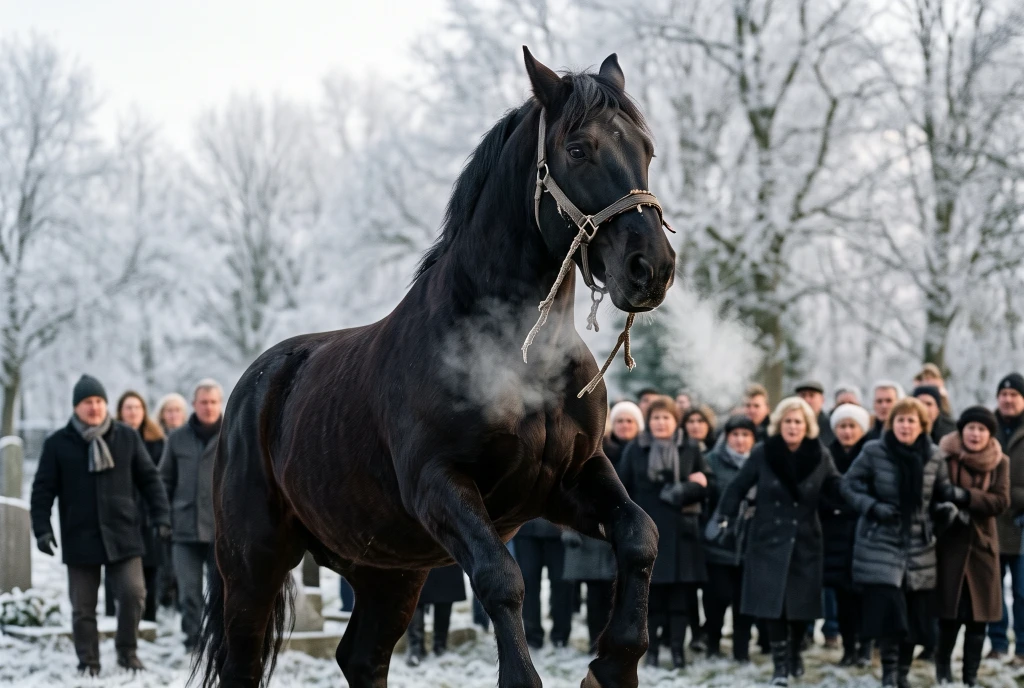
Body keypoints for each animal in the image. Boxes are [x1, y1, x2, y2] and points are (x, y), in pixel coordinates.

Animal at [193, 47, 676, 688]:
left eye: (646, 149)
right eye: (578, 150)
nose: (651, 267)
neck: (516, 357)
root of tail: (254, 388)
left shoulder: (571, 477)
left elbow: (640, 534)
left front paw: (613, 664)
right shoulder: (440, 484)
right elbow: (502, 578)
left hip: (389, 570)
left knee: (363, 657)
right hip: (252, 562)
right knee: (244, 663)